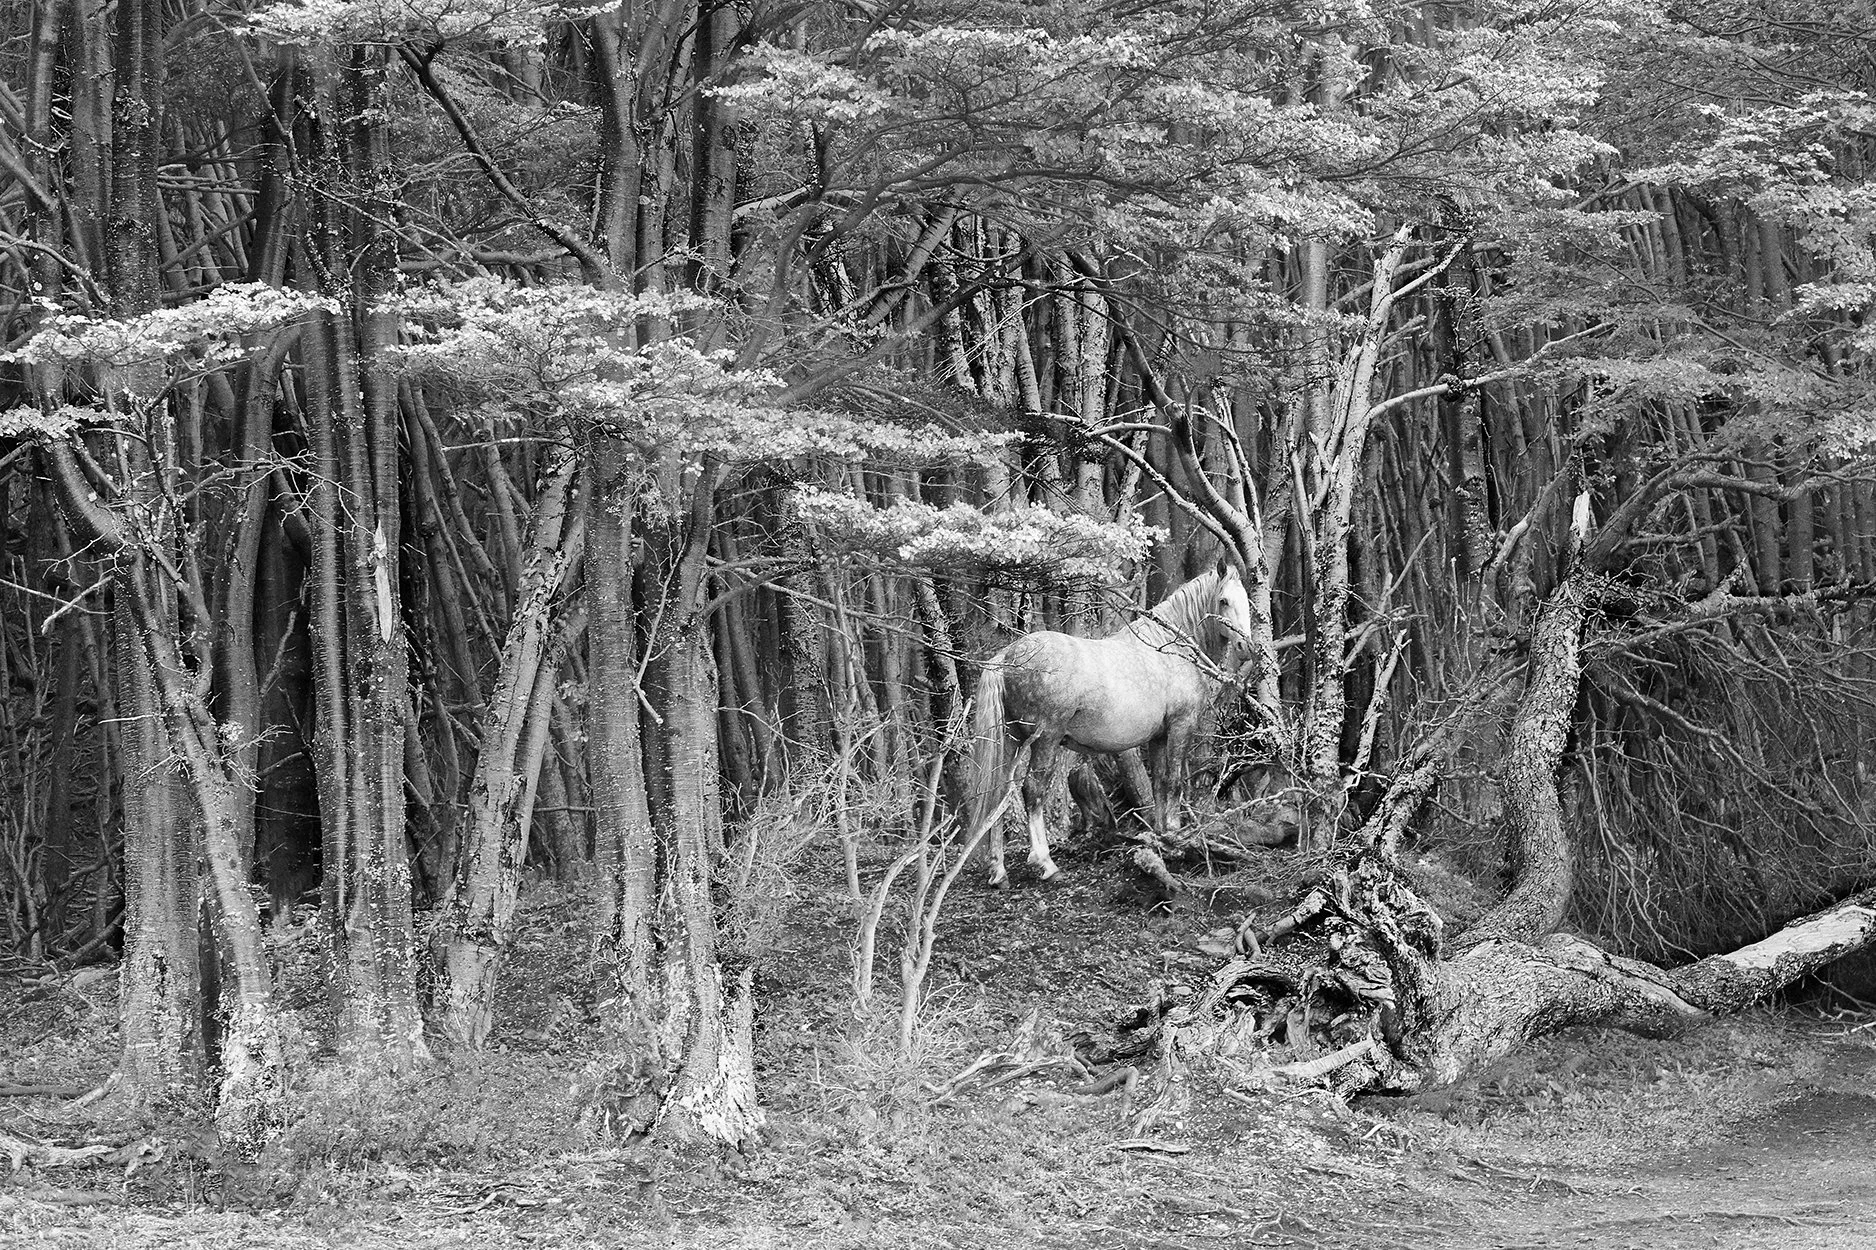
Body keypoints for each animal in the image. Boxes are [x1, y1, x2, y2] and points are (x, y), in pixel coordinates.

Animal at [964, 562, 1253, 886]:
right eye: (1223, 601)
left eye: (1246, 601)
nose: (1246, 646)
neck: (1168, 650)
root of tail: (1007, 657)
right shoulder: (1181, 726)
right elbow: (1175, 782)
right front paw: (1176, 835)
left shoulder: (1159, 737)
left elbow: (1159, 782)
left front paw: (1162, 837)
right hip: (1045, 738)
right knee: (1033, 790)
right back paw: (1046, 864)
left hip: (1011, 739)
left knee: (998, 795)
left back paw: (998, 871)